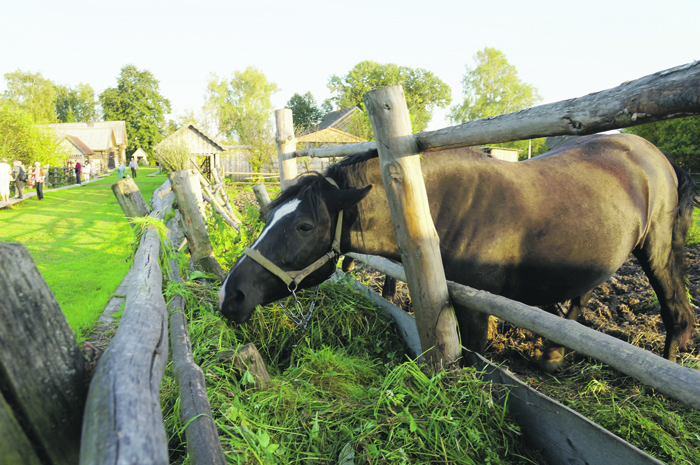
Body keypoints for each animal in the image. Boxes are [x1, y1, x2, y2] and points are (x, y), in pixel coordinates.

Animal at [217, 132, 696, 368]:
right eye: (268, 217)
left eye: (303, 225)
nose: (229, 295)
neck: (436, 211)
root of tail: (656, 156)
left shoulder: (474, 309)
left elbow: (473, 359)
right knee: (582, 296)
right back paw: (552, 356)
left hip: (657, 250)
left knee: (676, 309)